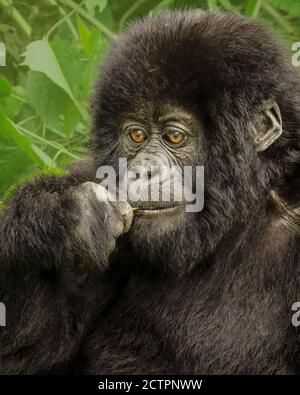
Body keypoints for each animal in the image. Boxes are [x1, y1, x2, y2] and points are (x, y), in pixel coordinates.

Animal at [0, 10, 300, 374]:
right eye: (137, 135)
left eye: (175, 136)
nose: (143, 170)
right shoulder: (95, 175)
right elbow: (23, 358)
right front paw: (58, 216)